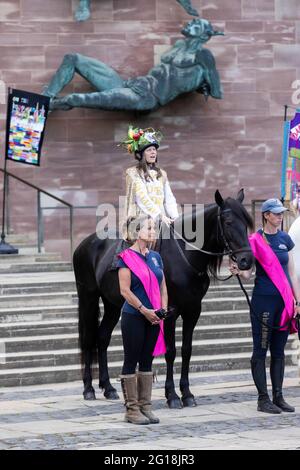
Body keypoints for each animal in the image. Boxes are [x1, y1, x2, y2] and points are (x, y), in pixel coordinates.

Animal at [74, 187, 254, 408]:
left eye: (245, 222)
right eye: (228, 222)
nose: (247, 260)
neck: (185, 256)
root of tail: (85, 243)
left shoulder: (193, 310)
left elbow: (186, 350)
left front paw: (187, 394)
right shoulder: (170, 312)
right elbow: (170, 351)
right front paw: (173, 395)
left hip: (113, 305)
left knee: (102, 337)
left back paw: (108, 388)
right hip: (88, 298)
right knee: (88, 339)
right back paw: (88, 389)